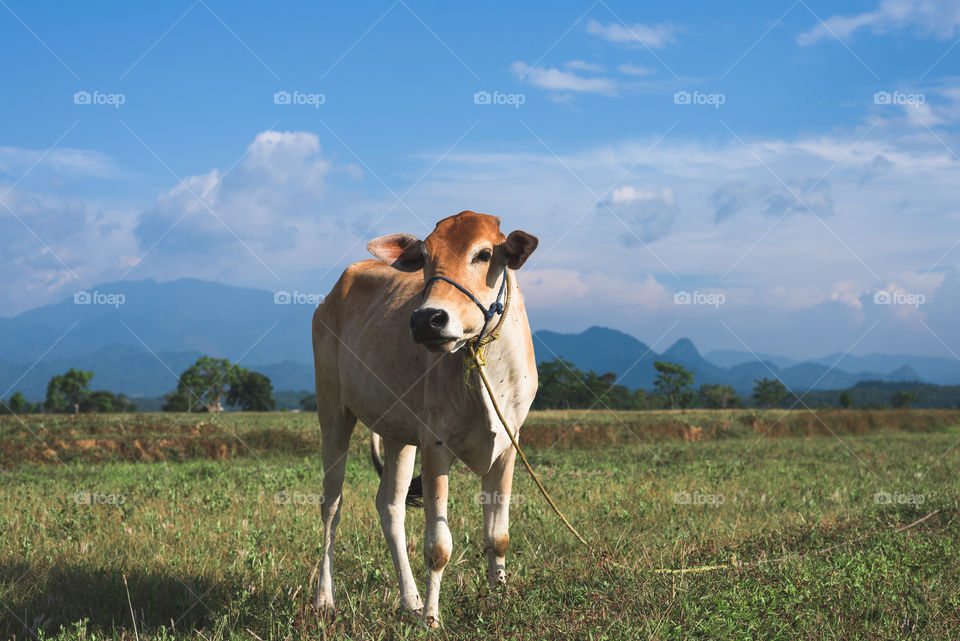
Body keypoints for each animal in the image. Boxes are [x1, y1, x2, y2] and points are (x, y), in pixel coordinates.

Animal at [311, 211, 538, 627]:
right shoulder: (435, 446)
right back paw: (325, 599)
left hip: (398, 434)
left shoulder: (507, 444)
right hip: (332, 410)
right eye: (426, 256)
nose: (427, 319)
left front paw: (498, 597)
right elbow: (438, 546)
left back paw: (410, 598)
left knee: (390, 506)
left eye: (484, 254)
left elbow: (498, 535)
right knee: (331, 505)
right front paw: (432, 618)